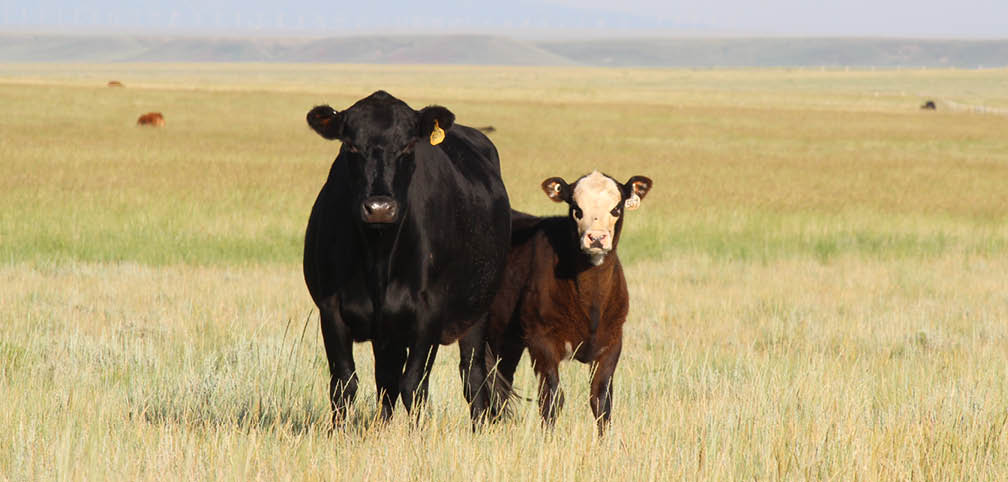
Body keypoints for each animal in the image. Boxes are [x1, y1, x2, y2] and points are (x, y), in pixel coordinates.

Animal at [303, 91, 512, 428]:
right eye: (351, 145)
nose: (379, 207)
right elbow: (345, 382)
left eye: (408, 146)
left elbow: (414, 384)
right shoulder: (331, 309)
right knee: (385, 381)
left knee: (473, 374)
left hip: (477, 310)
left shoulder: (429, 313)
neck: (379, 256)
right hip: (388, 332)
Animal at [470, 170, 652, 434]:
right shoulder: (541, 339)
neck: (591, 303)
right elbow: (552, 397)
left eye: (616, 208)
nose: (596, 238)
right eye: (577, 209)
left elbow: (601, 399)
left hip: (507, 338)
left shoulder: (612, 342)